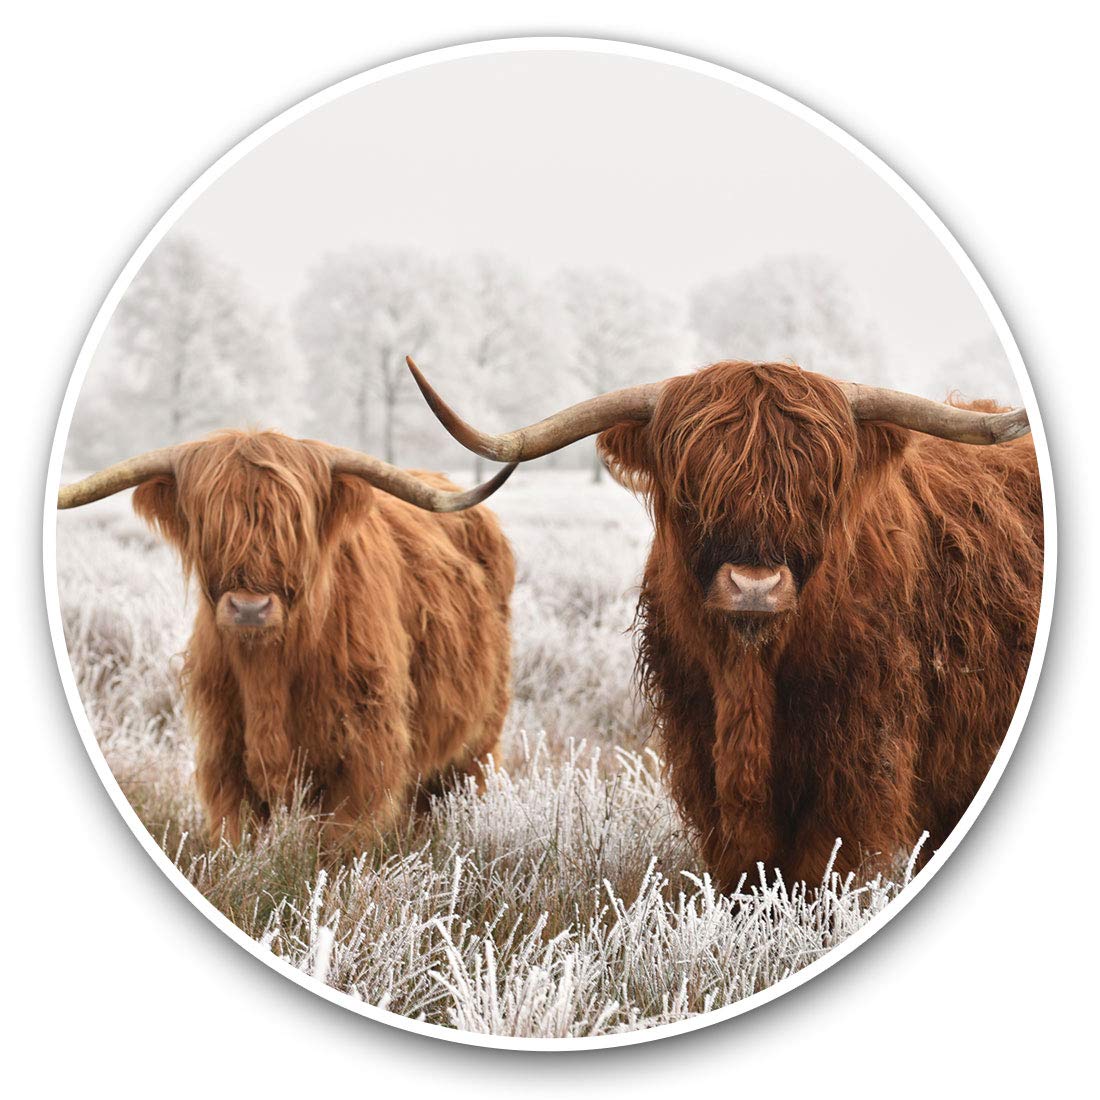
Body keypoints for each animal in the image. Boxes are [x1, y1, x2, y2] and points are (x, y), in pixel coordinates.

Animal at [58, 430, 517, 849]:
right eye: (209, 521)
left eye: (294, 525)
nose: (249, 608)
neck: (269, 670)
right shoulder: (224, 753)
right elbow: (236, 838)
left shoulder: (364, 756)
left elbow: (339, 845)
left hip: (479, 738)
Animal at [406, 356, 1043, 890]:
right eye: (691, 490)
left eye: (818, 490)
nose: (754, 587)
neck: (750, 676)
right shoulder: (701, 752)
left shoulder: (861, 766)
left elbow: (825, 869)